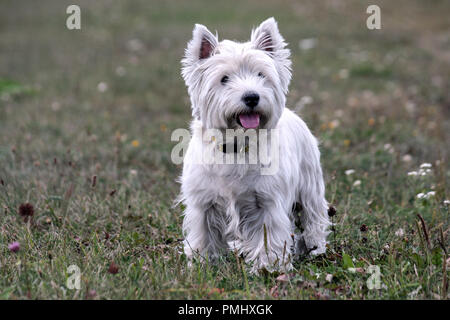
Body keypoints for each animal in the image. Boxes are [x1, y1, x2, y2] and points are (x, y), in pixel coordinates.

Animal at [179, 17, 330, 272]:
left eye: (261, 75)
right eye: (224, 79)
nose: (252, 96)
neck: (237, 146)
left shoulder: (267, 202)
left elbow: (269, 237)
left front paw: (268, 268)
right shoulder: (203, 202)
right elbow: (204, 233)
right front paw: (202, 264)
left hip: (309, 186)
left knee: (313, 217)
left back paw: (315, 249)